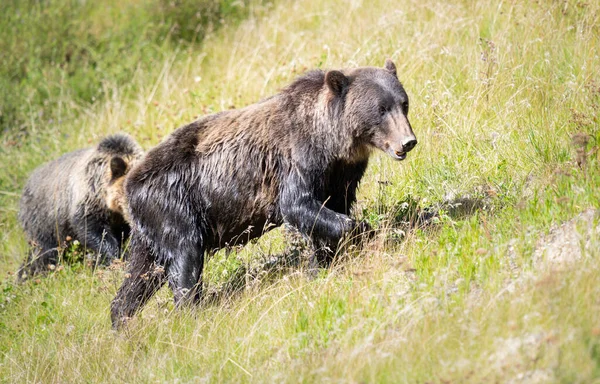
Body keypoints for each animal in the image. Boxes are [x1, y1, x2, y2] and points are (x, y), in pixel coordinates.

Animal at [110, 59, 414, 328]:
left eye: (404, 103)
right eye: (381, 109)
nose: (407, 141)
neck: (332, 143)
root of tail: (129, 186)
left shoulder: (342, 174)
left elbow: (331, 210)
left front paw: (324, 261)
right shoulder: (299, 159)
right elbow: (298, 205)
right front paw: (364, 234)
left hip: (150, 229)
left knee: (140, 276)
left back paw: (121, 321)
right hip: (173, 207)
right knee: (185, 259)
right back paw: (191, 312)